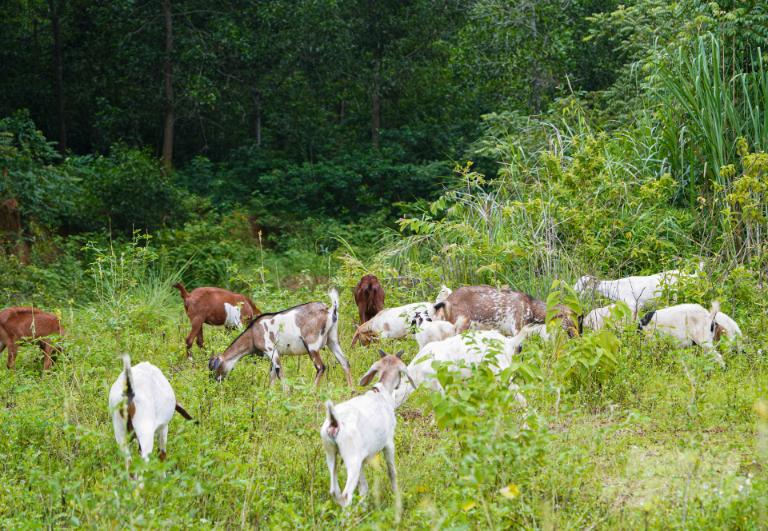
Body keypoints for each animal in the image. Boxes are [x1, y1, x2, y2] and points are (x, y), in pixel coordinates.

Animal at [210, 288, 354, 388]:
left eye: (213, 368)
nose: (214, 382)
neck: (252, 333)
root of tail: (329, 310)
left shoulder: (270, 350)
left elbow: (279, 372)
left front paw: (286, 394)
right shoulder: (274, 353)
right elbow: (272, 374)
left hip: (312, 345)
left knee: (321, 367)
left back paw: (312, 391)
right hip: (332, 340)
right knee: (345, 362)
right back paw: (351, 390)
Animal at [318, 350, 414, 508]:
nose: (399, 385)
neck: (382, 393)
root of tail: (334, 421)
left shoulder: (362, 458)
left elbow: (363, 487)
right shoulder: (388, 443)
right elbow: (392, 472)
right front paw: (396, 495)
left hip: (330, 452)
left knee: (334, 491)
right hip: (352, 458)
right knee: (346, 494)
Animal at [436, 286, 580, 336]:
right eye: (570, 319)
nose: (578, 335)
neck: (532, 308)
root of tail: (447, 302)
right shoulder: (517, 326)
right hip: (462, 323)